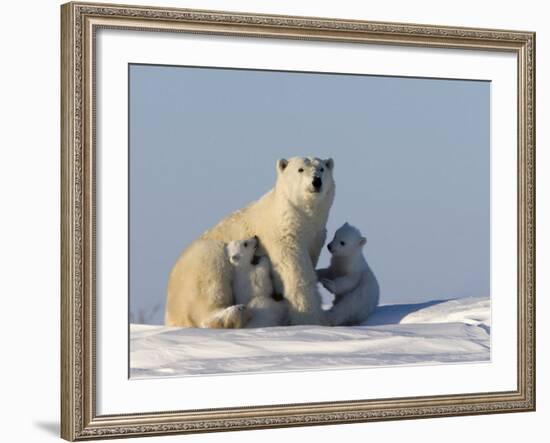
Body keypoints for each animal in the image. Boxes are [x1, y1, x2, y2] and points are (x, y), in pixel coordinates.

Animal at [165, 156, 336, 326]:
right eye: (300, 169)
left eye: (322, 168)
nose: (316, 181)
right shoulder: (283, 236)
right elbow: (295, 272)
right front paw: (311, 318)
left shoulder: (315, 237)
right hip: (199, 265)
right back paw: (235, 312)